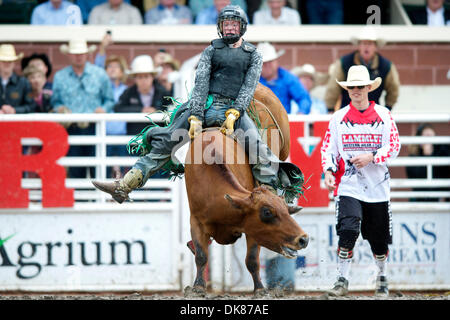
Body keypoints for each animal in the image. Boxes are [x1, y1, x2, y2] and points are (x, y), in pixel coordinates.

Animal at [185, 129, 308, 294]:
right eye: (267, 212)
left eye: (286, 211)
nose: (303, 239)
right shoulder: (196, 221)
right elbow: (201, 255)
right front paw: (198, 286)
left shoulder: (252, 229)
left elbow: (252, 260)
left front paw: (260, 289)